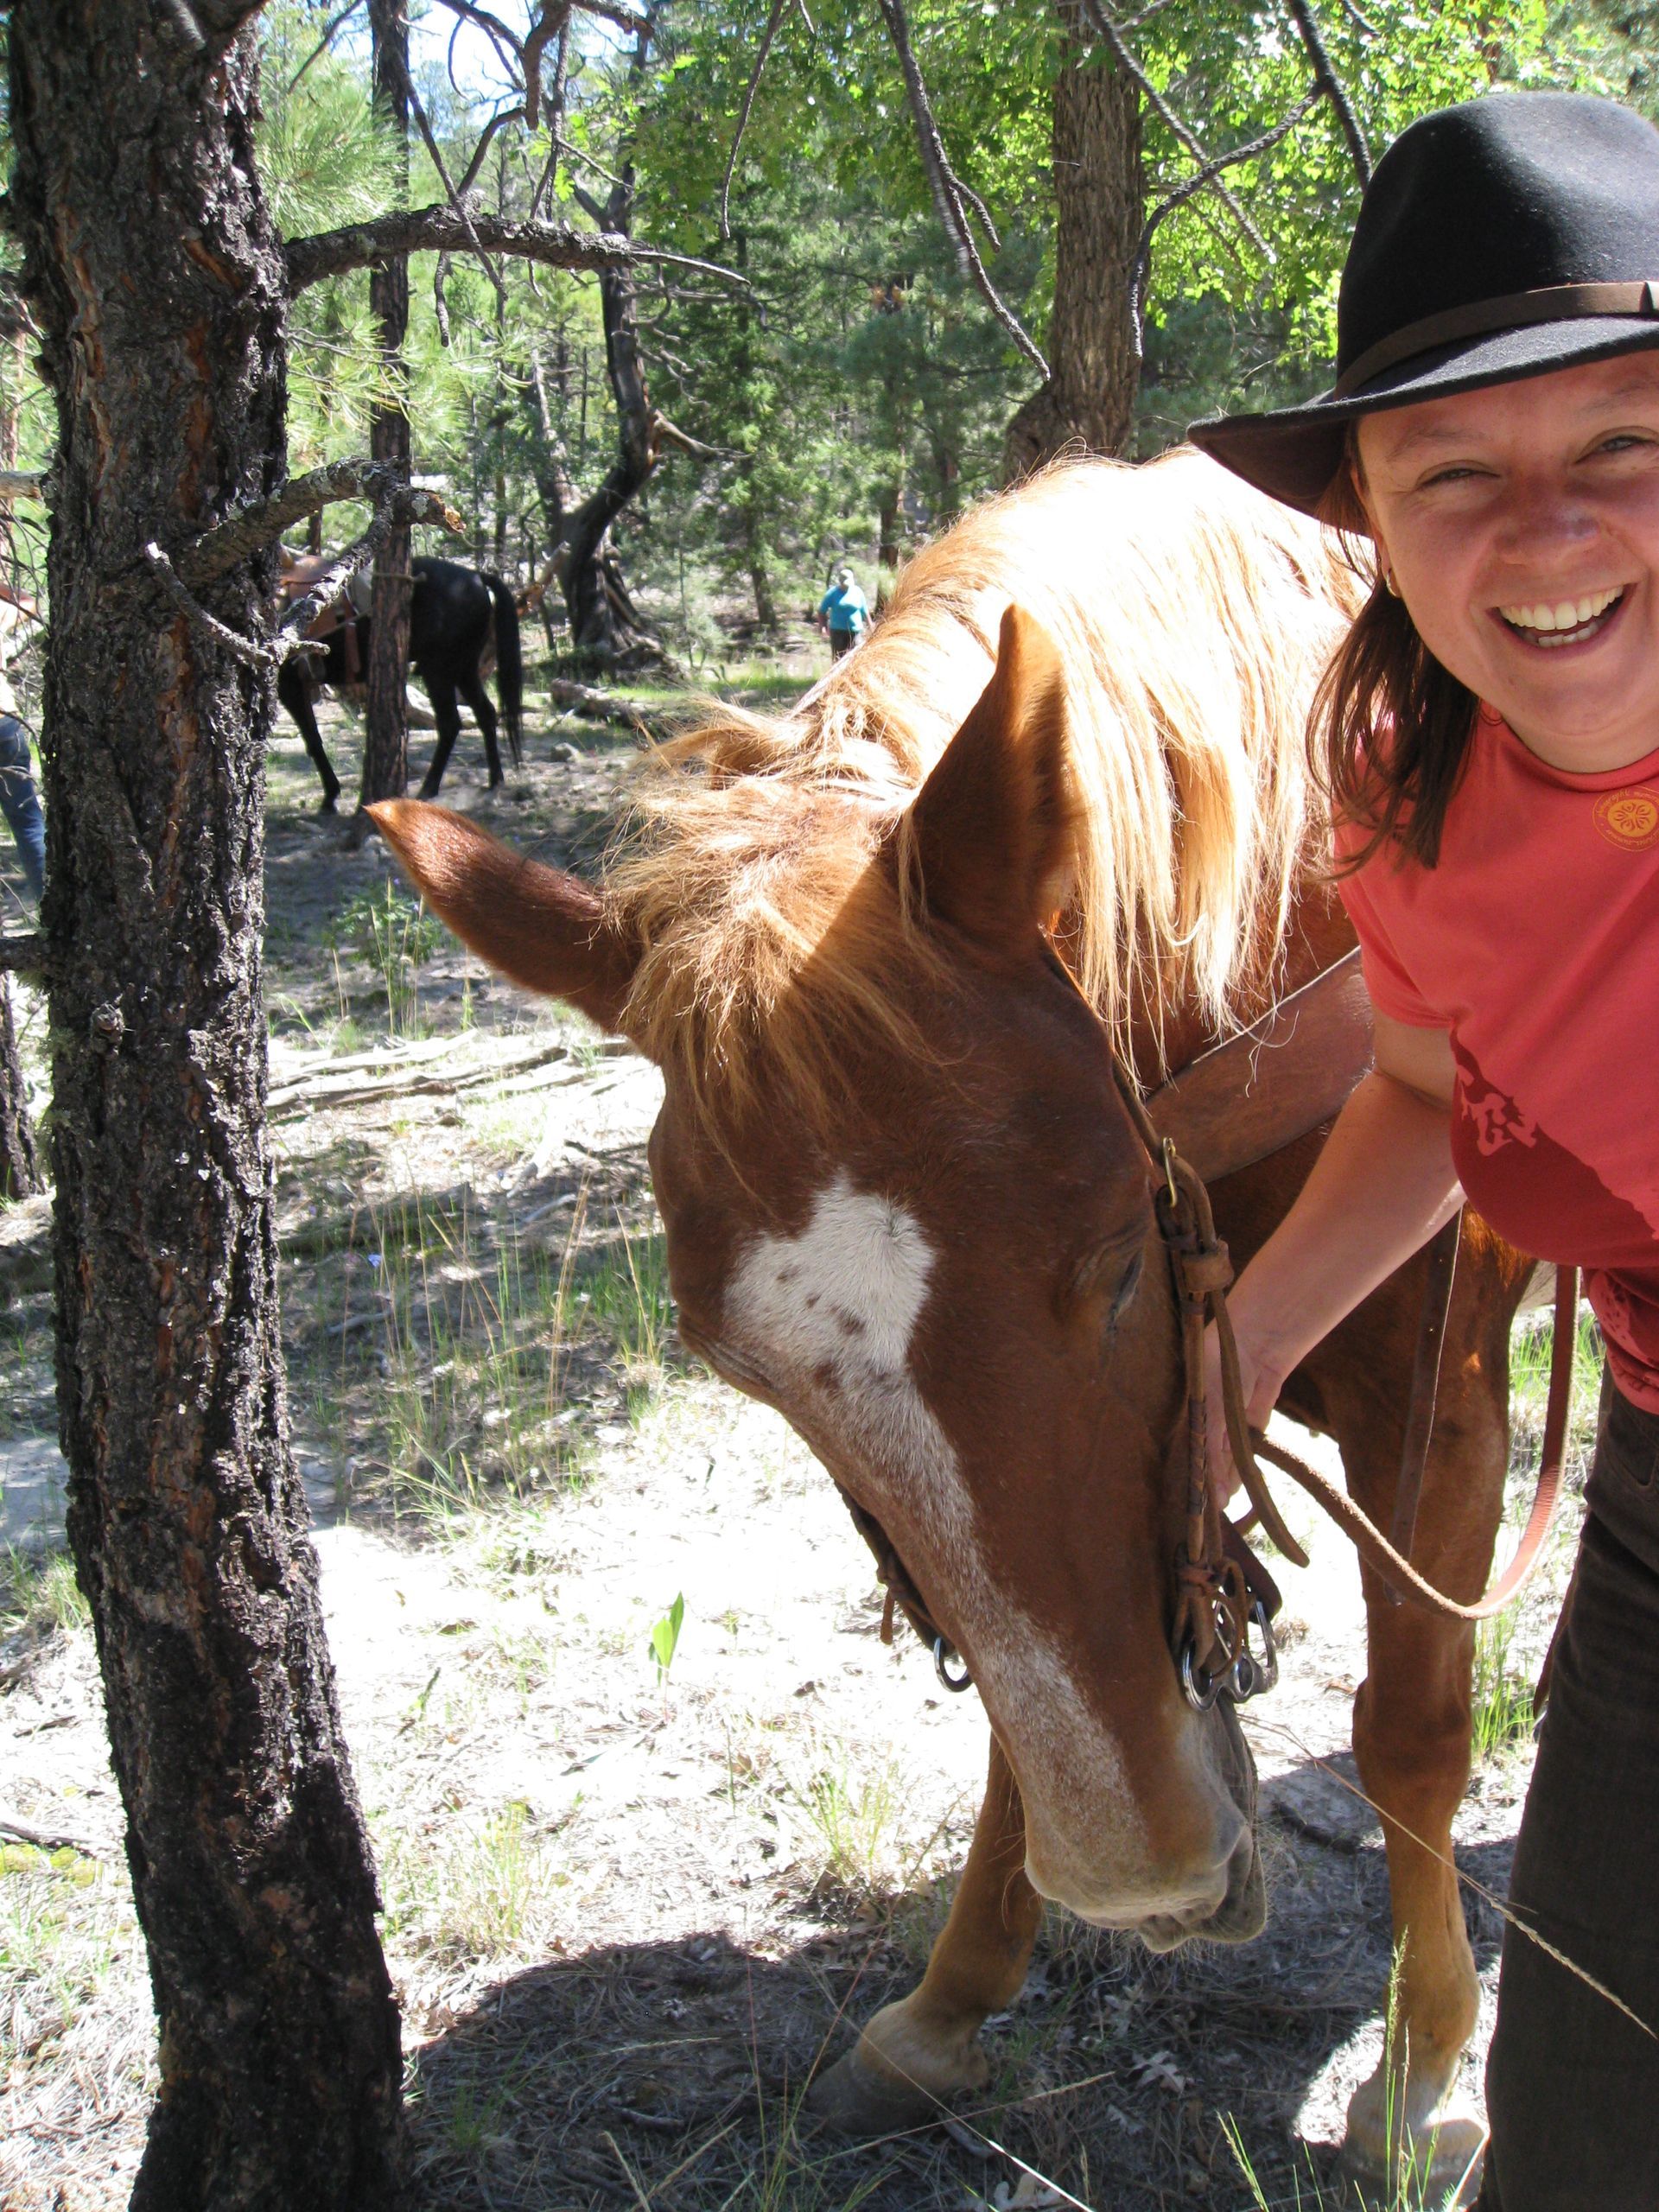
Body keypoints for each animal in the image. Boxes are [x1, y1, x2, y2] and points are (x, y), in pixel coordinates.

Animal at [275, 555, 524, 811]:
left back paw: (429, 788)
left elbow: (313, 739)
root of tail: (476, 577)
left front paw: (330, 797)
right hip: (463, 669)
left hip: (438, 670)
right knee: (486, 714)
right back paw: (495, 781)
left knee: (450, 723)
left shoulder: (288, 685)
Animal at [369, 449, 1533, 2198]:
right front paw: (953, 1998)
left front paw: (1424, 2065)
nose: (1144, 1878)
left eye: (1117, 1254)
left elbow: (1411, 1728)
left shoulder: (1435, 1403)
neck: (1302, 917)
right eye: (738, 1368)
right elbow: (1019, 1688)